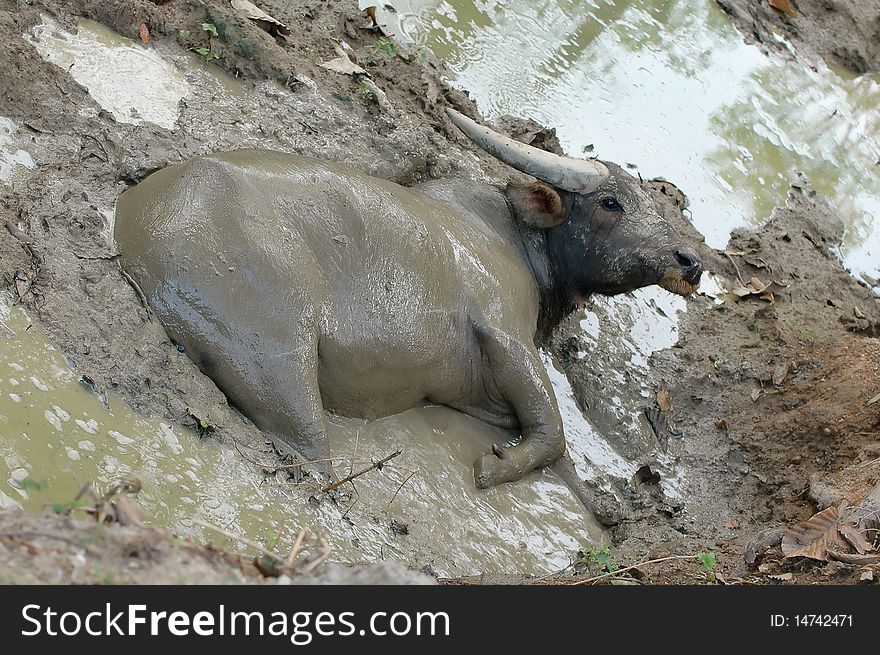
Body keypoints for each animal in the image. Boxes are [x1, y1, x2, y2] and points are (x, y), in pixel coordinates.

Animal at [115, 109, 700, 508]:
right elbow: (554, 433)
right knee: (309, 448)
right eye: (611, 202)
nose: (690, 261)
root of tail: (144, 229)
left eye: (659, 208)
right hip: (278, 350)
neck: (516, 239)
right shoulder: (504, 334)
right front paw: (498, 466)